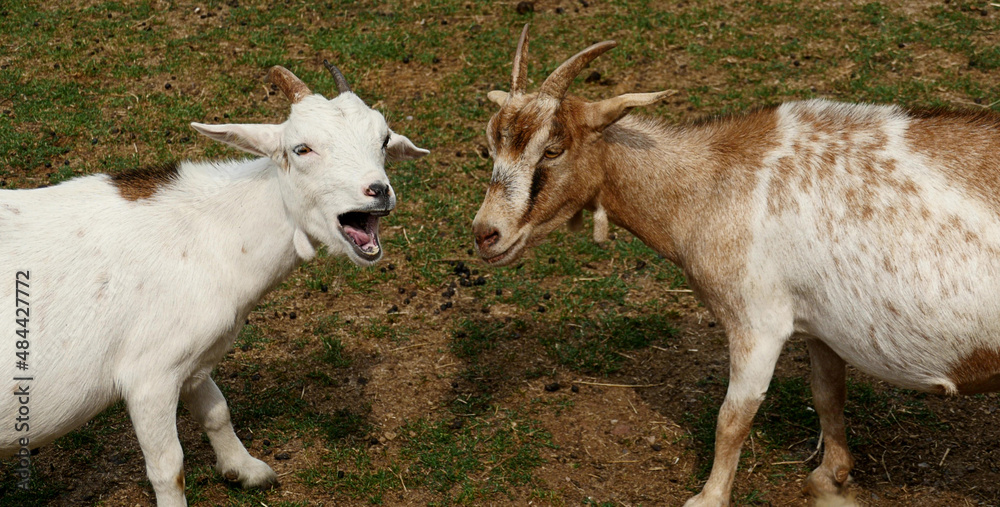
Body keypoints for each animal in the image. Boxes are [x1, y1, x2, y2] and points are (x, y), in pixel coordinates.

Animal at [0, 64, 427, 506]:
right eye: (301, 149)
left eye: (383, 141)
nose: (378, 191)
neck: (207, 236)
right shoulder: (148, 375)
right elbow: (168, 467)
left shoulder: (191, 357)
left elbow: (217, 409)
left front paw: (246, 469)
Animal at [472, 25, 1000, 506]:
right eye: (491, 146)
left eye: (553, 149)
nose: (485, 235)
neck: (711, 181)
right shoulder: (820, 324)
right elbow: (828, 395)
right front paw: (830, 479)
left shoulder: (757, 320)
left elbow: (732, 418)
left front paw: (708, 497)